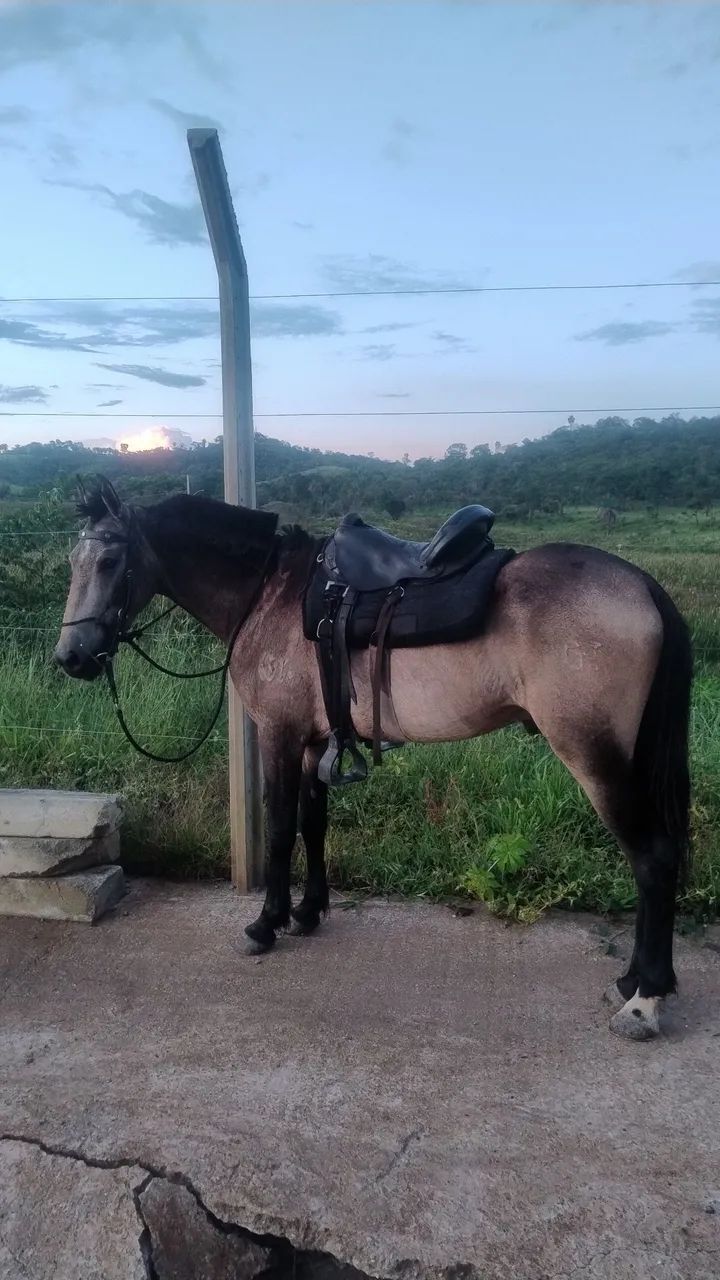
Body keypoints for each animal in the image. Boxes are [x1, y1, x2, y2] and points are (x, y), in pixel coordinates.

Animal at [54, 478, 692, 1042]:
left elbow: (280, 828)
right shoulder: (316, 740)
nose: (72, 656)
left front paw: (266, 923)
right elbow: (314, 824)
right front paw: (308, 913)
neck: (270, 595)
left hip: (596, 757)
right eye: (73, 560)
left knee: (653, 858)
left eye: (109, 561)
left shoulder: (280, 735)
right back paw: (632, 980)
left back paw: (645, 999)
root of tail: (641, 585)